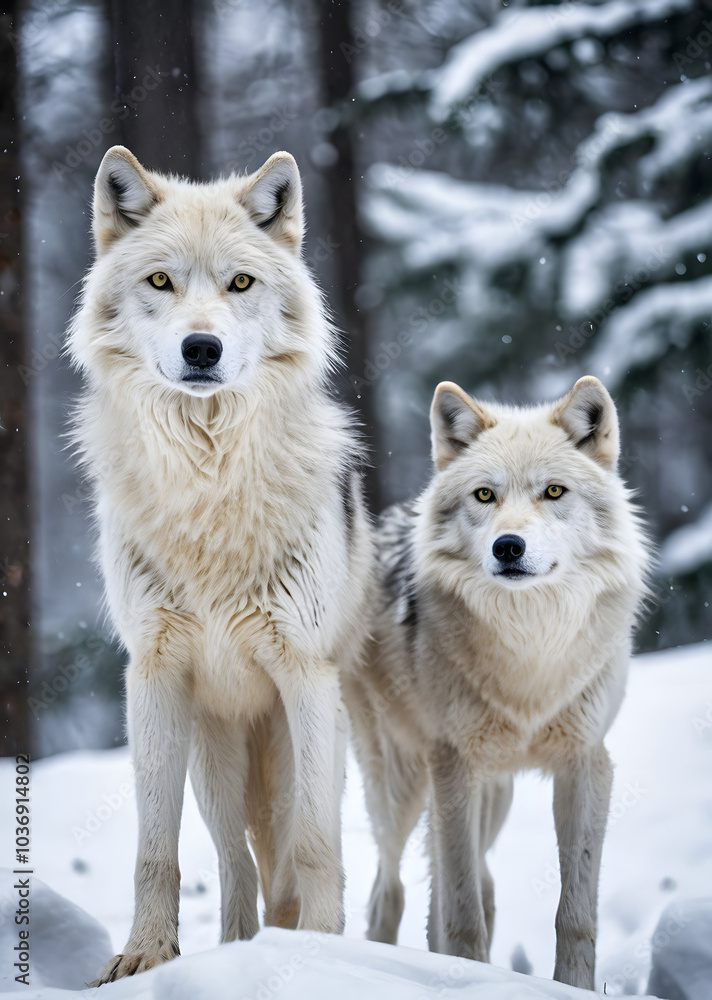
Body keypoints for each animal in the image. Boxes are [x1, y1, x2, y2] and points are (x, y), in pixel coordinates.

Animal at [67, 146, 374, 983]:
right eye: (160, 282)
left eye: (239, 284)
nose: (200, 348)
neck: (209, 482)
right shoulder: (153, 676)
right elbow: (154, 851)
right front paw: (144, 956)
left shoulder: (305, 674)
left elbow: (317, 847)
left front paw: (322, 950)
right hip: (214, 762)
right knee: (237, 864)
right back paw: (237, 948)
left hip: (310, 744)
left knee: (290, 853)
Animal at [343, 376, 649, 990]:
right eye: (484, 495)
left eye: (553, 492)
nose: (508, 546)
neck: (529, 652)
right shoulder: (453, 766)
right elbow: (460, 910)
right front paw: (467, 977)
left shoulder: (586, 764)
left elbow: (575, 910)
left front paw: (573, 988)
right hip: (402, 786)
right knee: (392, 889)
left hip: (494, 795)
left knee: (473, 882)